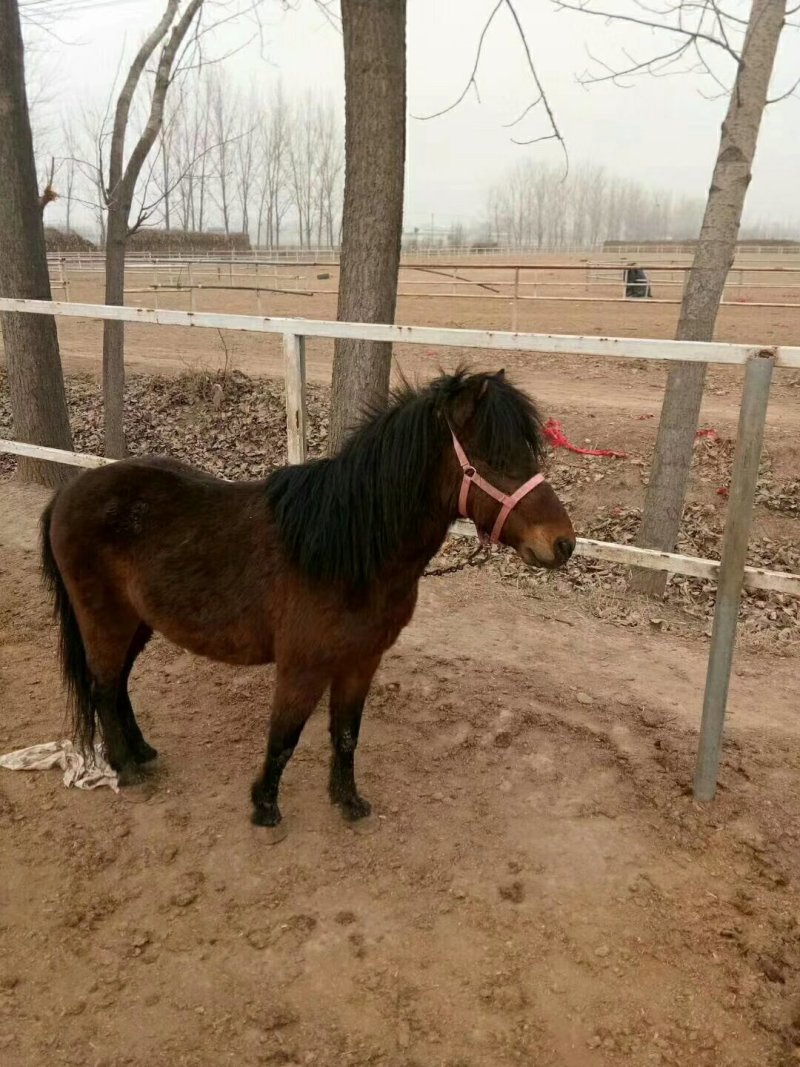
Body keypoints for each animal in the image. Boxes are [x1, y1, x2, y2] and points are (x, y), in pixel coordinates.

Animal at [40, 369, 575, 829]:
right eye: (495, 459)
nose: (563, 544)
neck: (347, 549)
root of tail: (69, 491)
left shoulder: (360, 662)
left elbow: (346, 734)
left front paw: (348, 801)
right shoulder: (302, 667)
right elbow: (284, 737)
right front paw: (265, 807)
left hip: (137, 622)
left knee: (117, 685)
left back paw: (141, 752)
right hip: (105, 620)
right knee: (103, 688)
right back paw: (126, 769)